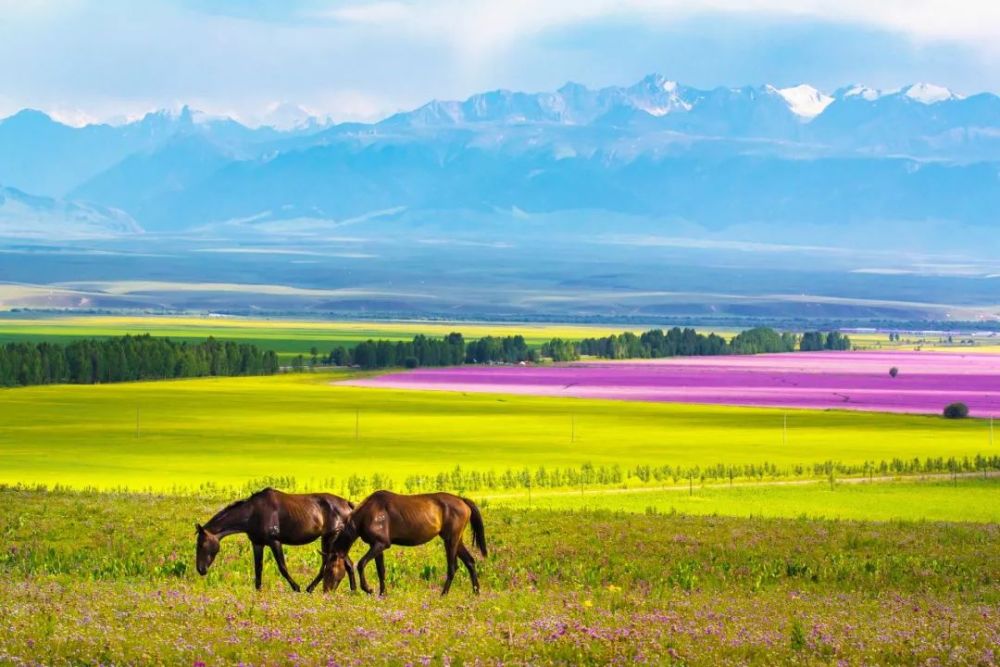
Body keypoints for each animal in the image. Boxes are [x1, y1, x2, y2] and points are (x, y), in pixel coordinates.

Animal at [195, 488, 356, 592]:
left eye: (201, 544)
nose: (201, 570)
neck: (253, 513)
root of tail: (347, 504)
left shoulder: (274, 542)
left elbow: (282, 567)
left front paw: (296, 588)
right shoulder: (257, 543)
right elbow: (258, 568)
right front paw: (258, 590)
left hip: (331, 538)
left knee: (331, 563)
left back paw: (311, 588)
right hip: (328, 539)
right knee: (345, 563)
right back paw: (353, 591)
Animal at [324, 490, 488, 596]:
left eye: (330, 570)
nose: (325, 591)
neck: (368, 514)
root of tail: (462, 500)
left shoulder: (381, 544)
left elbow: (361, 564)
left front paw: (368, 589)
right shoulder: (376, 546)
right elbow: (381, 570)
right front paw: (383, 594)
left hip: (451, 540)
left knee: (453, 567)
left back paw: (444, 594)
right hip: (456, 540)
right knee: (470, 562)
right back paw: (476, 592)